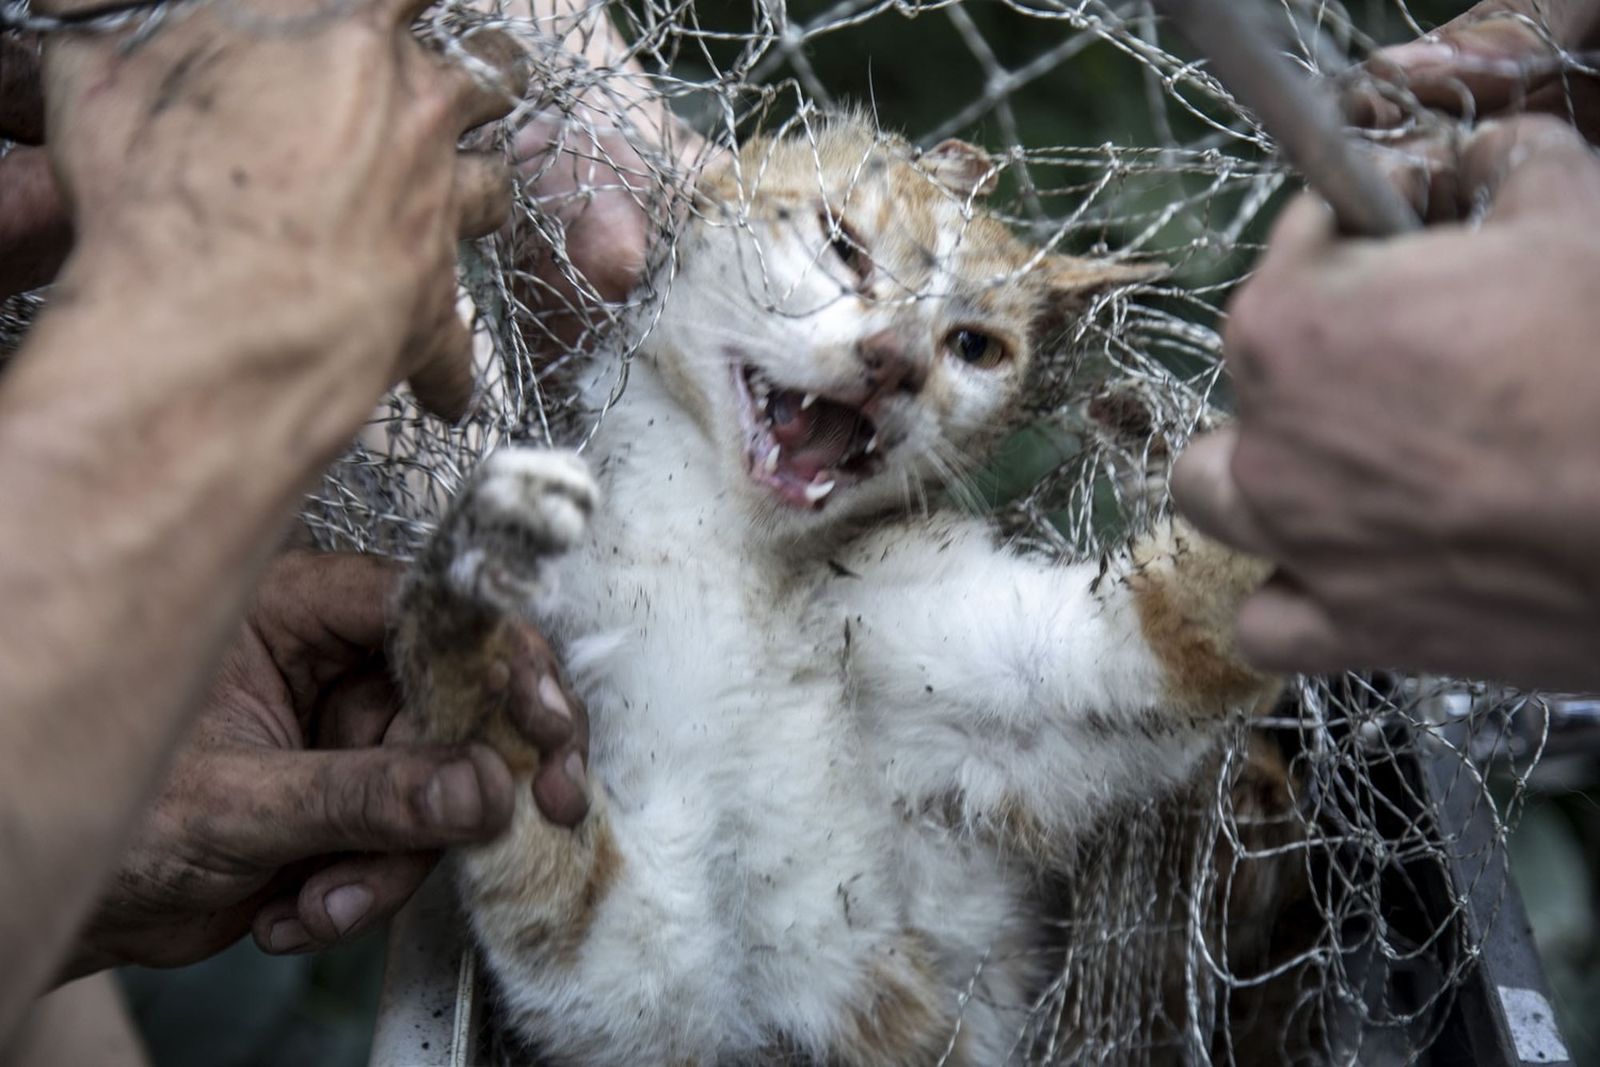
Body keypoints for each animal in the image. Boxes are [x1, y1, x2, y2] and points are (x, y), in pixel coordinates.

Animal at [393, 116, 1280, 1067]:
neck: (737, 561)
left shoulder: (1047, 667)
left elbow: (1182, 618)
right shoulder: (625, 977)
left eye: (974, 346)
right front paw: (475, 582)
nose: (895, 361)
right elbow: (511, 798)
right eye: (845, 246)